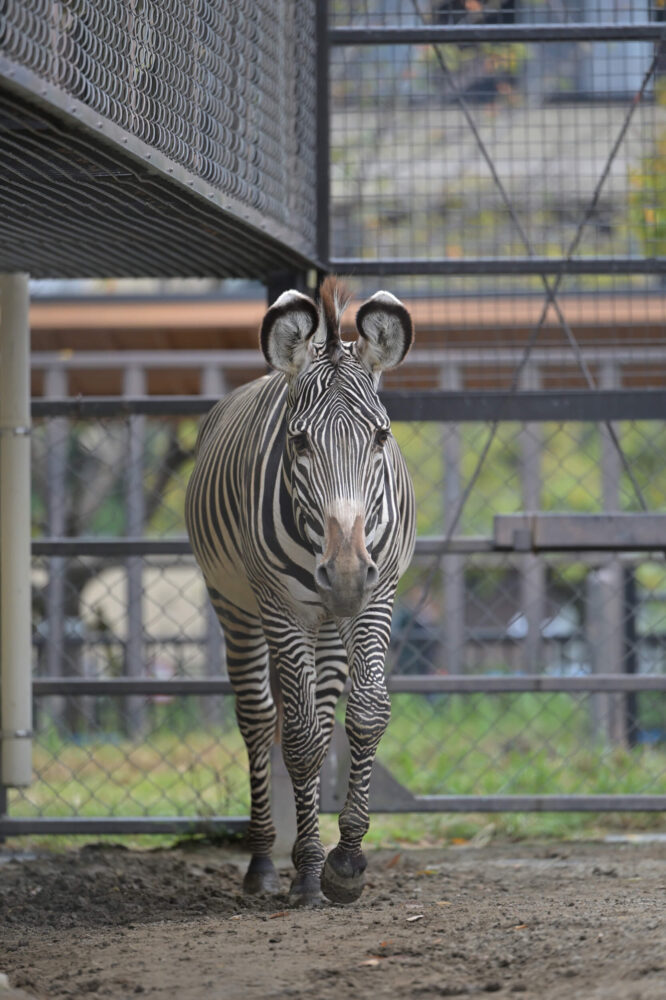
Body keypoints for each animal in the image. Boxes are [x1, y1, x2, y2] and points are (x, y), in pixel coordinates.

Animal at [184, 276, 412, 908]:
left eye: (381, 435)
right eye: (300, 441)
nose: (345, 574)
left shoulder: (377, 595)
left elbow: (366, 713)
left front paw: (347, 861)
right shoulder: (281, 608)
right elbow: (303, 737)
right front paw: (311, 869)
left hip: (329, 620)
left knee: (324, 705)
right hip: (237, 606)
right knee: (261, 718)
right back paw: (266, 862)